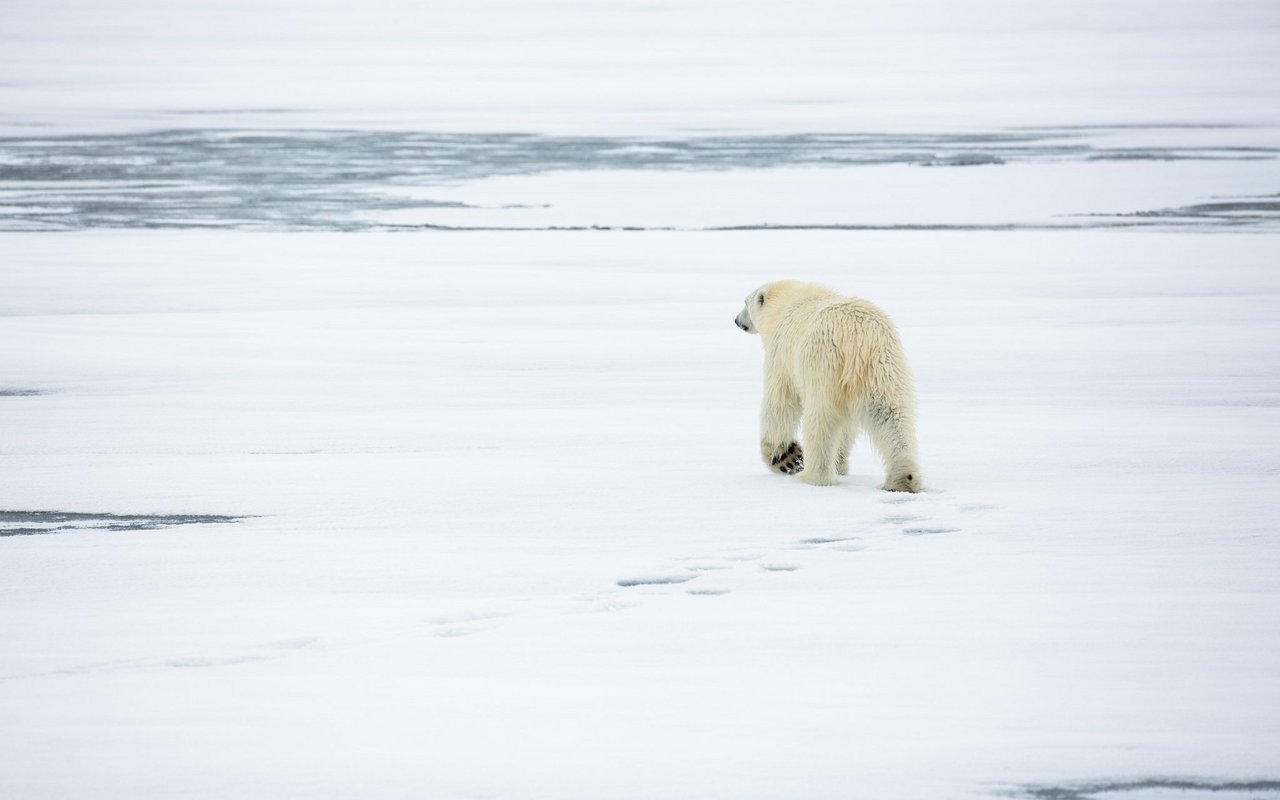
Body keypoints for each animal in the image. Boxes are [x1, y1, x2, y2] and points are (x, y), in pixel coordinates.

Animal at [737, 280, 926, 494]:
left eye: (745, 302)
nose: (737, 320)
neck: (786, 304)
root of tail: (858, 338)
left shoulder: (782, 356)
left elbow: (780, 403)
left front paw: (786, 458)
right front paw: (840, 464)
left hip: (823, 367)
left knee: (820, 420)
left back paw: (812, 476)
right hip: (882, 368)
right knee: (890, 415)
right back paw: (903, 478)